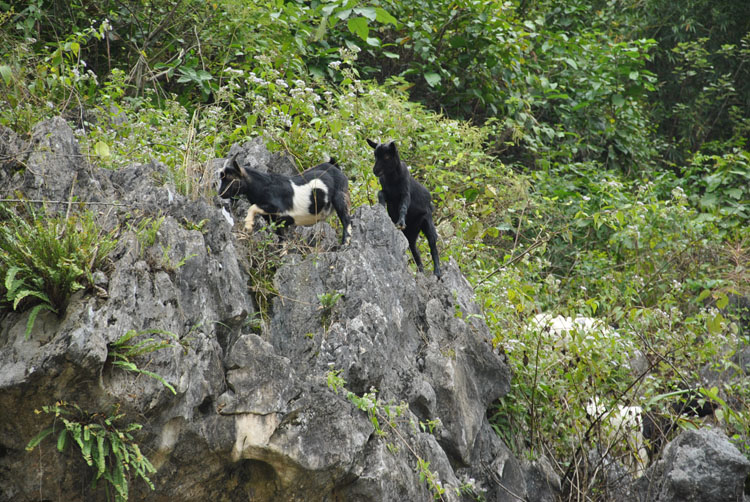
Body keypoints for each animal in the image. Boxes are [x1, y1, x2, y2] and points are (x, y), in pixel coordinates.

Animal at [219, 155, 354, 245]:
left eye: (232, 179)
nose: (220, 193)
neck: (264, 185)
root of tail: (335, 167)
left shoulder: (278, 208)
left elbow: (253, 207)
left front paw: (248, 225)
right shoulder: (277, 221)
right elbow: (282, 239)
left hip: (340, 197)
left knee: (346, 220)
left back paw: (344, 244)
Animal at [368, 139, 444, 278]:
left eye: (387, 156)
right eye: (375, 155)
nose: (375, 170)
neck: (392, 180)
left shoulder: (405, 193)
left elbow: (403, 207)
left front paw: (401, 222)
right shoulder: (388, 195)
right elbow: (380, 194)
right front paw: (381, 207)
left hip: (427, 222)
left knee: (433, 245)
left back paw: (437, 272)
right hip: (411, 233)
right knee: (414, 249)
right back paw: (421, 270)